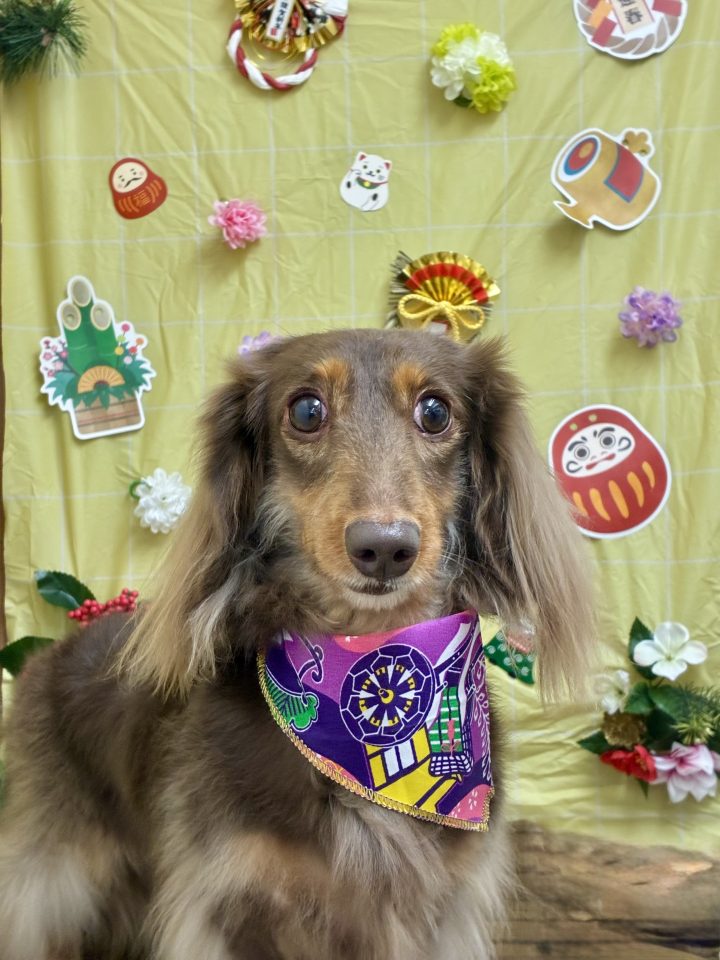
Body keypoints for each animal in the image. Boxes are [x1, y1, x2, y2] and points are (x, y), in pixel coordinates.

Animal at [0, 329, 592, 959]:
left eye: (436, 412)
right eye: (307, 411)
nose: (385, 549)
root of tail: (50, 653)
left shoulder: (439, 913)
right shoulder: (232, 906)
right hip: (54, 880)